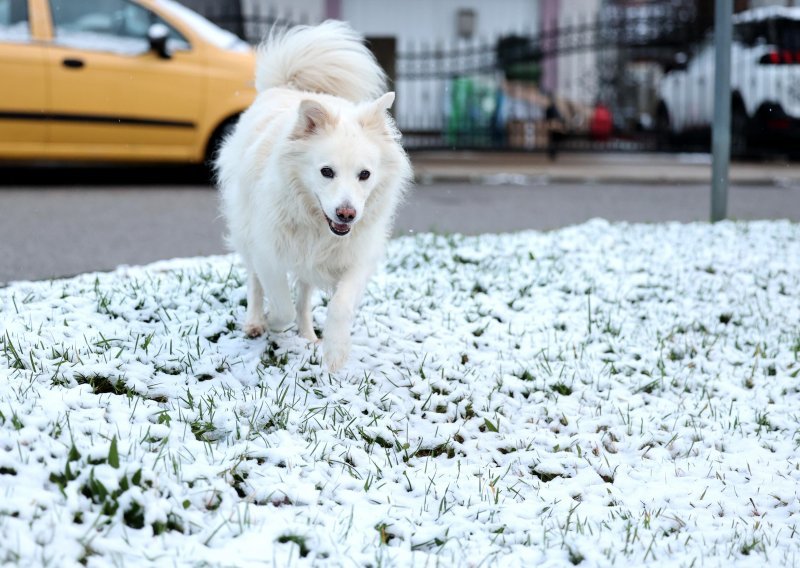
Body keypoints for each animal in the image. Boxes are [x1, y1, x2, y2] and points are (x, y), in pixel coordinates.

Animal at [214, 20, 412, 370]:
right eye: (326, 172)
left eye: (365, 175)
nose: (347, 214)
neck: (317, 224)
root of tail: (287, 87)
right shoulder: (268, 251)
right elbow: (279, 300)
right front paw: (274, 324)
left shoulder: (357, 256)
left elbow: (340, 304)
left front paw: (335, 351)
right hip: (246, 230)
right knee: (255, 282)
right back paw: (256, 322)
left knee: (304, 294)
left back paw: (308, 335)